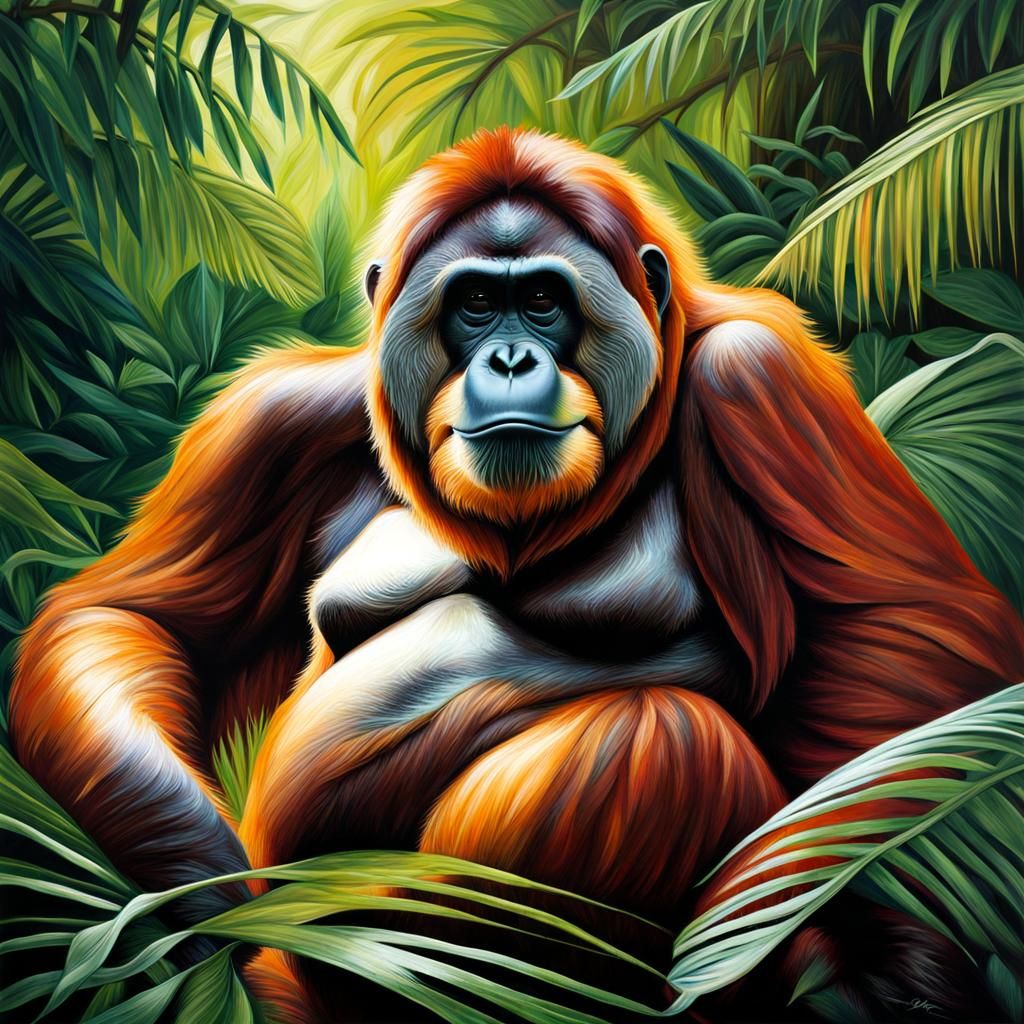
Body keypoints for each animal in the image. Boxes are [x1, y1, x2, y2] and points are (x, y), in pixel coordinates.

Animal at [10, 127, 1024, 1022]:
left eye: (541, 300)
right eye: (472, 304)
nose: (506, 356)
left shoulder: (760, 376)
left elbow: (915, 627)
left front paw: (861, 943)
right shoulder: (277, 415)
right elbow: (132, 616)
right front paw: (205, 895)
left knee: (660, 738)